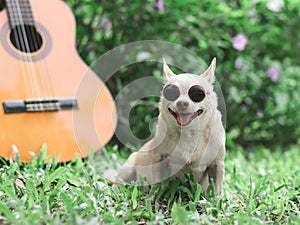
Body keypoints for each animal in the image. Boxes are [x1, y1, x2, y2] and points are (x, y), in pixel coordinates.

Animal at [117, 58, 225, 195]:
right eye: (171, 93)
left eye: (198, 94)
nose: (182, 103)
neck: (188, 133)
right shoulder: (159, 159)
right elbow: (157, 183)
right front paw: (154, 196)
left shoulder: (217, 164)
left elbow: (217, 189)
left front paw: (217, 199)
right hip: (128, 168)